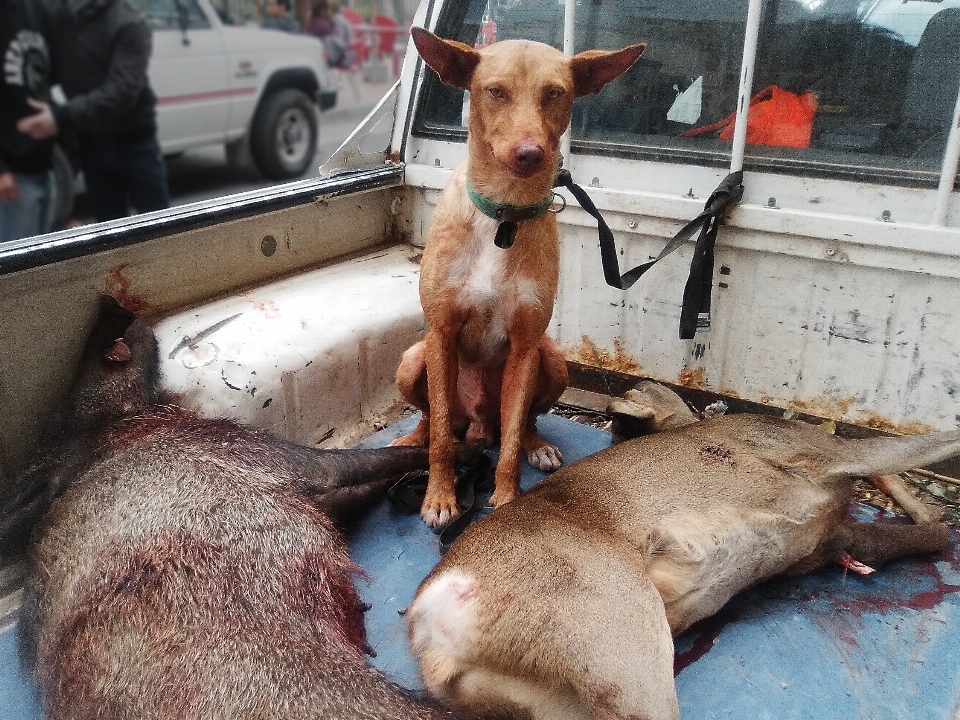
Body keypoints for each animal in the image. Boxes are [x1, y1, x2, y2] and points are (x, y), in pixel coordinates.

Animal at [390, 28, 644, 524]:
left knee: (519, 421)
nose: (530, 155)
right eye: (496, 91)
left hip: (552, 360)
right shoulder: (441, 335)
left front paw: (508, 500)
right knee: (435, 420)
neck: (503, 216)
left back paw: (535, 444)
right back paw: (413, 439)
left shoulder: (526, 346)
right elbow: (441, 439)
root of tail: (477, 424)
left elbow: (508, 445)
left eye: (555, 94)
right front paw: (440, 496)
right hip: (413, 360)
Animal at [406, 394, 960, 720]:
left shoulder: (828, 543)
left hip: (556, 698)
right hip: (612, 627)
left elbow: (919, 533)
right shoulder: (817, 455)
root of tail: (425, 620)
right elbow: (922, 447)